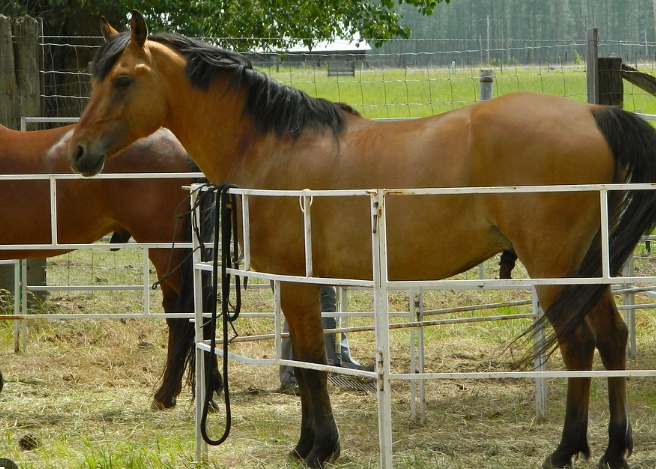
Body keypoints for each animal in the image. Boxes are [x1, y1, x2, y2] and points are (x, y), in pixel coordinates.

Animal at [65, 11, 656, 468]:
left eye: (123, 79)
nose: (78, 152)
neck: (273, 146)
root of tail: (596, 114)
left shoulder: (297, 280)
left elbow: (310, 360)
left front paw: (319, 447)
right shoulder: (296, 281)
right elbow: (308, 360)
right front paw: (308, 444)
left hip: (555, 265)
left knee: (580, 344)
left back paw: (566, 450)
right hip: (584, 266)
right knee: (611, 338)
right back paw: (611, 449)